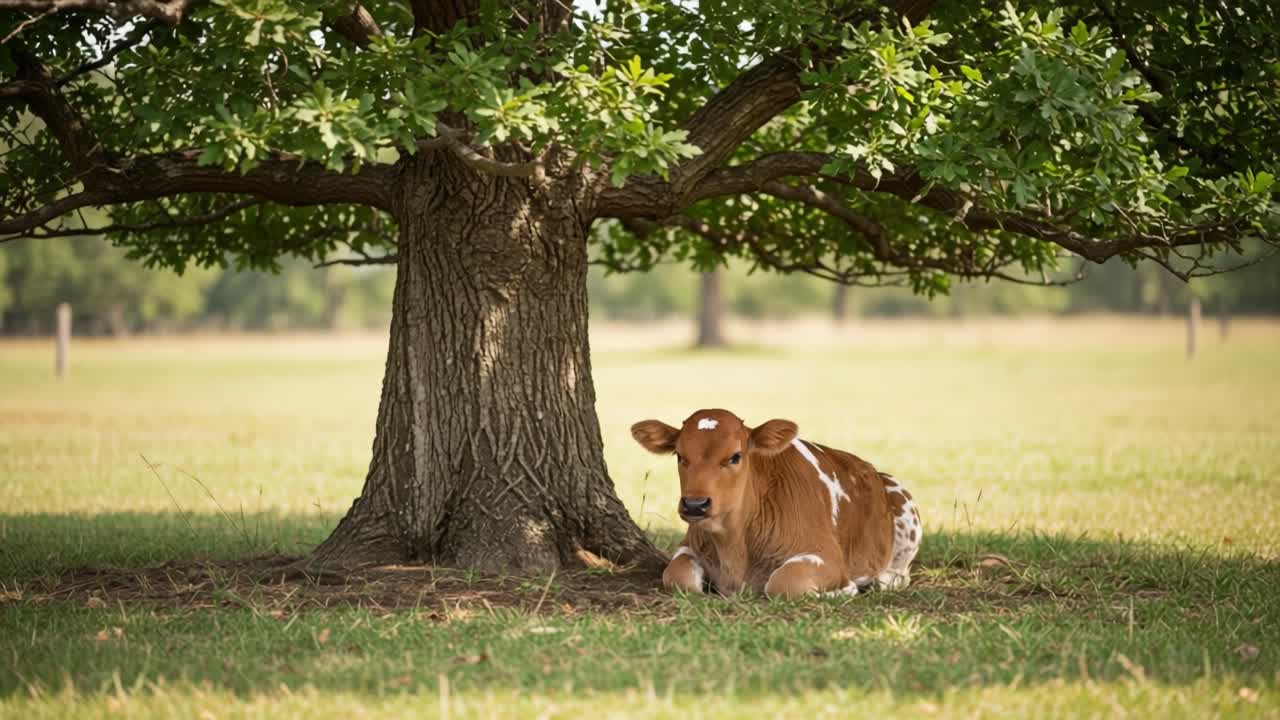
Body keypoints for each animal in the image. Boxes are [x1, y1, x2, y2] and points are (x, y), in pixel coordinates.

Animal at [631, 408, 921, 598]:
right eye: (680, 456)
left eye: (735, 456)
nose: (695, 504)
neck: (734, 546)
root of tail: (870, 468)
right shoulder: (689, 544)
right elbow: (677, 575)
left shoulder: (828, 556)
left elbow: (784, 582)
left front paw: (846, 589)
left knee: (900, 575)